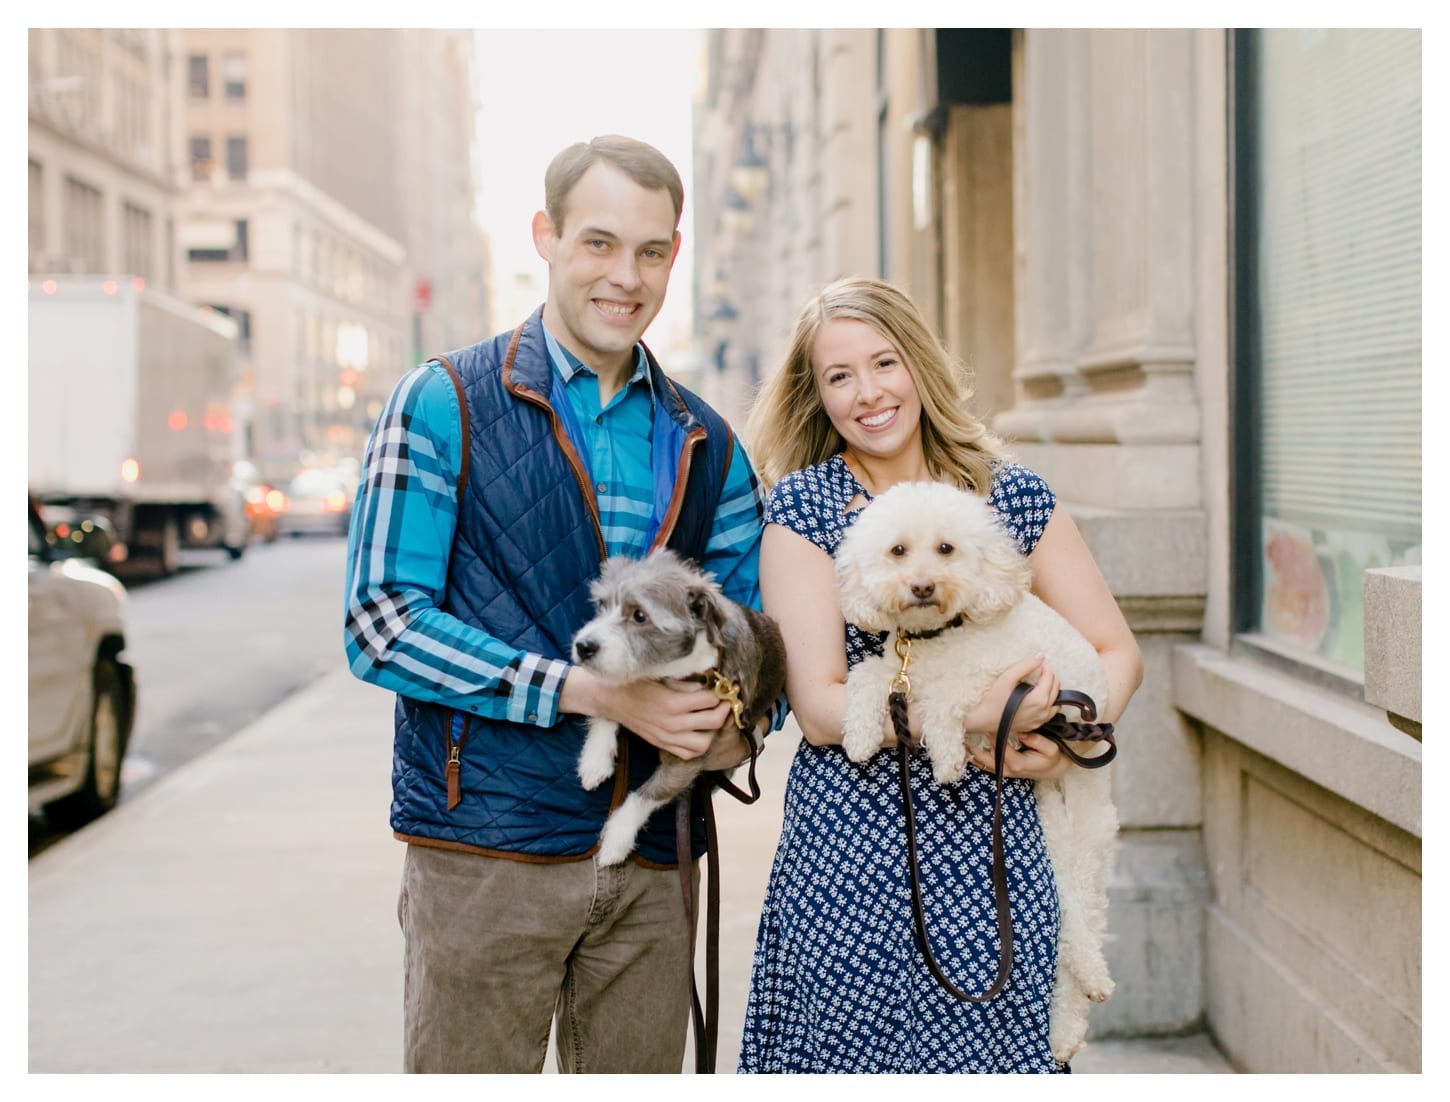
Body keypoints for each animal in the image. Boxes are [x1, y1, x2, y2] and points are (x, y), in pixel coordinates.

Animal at [571, 548, 788, 864]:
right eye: (602, 604)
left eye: (640, 615)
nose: (583, 646)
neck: (681, 672)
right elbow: (614, 700)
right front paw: (595, 759)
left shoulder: (688, 756)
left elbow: (645, 795)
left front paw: (615, 841)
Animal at [835, 478, 1113, 1061]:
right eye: (897, 550)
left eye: (946, 548)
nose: (921, 586)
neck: (935, 638)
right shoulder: (897, 669)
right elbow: (867, 678)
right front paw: (861, 734)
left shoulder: (1002, 674)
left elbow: (948, 694)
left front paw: (945, 755)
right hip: (1052, 829)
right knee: (1069, 918)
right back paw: (1065, 1029)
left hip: (1088, 829)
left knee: (1087, 915)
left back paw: (1091, 986)